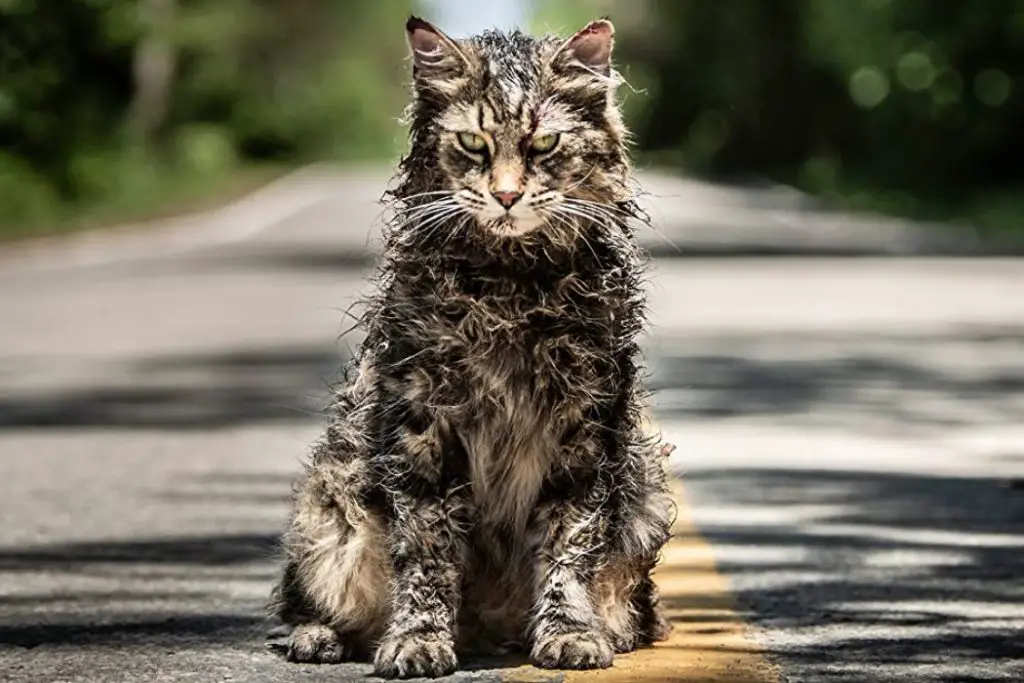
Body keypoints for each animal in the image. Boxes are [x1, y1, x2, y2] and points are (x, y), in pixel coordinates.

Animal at [268, 15, 675, 679]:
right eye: (474, 145)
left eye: (543, 145)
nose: (506, 196)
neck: (510, 288)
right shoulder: (422, 426)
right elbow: (427, 551)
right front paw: (418, 640)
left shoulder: (585, 428)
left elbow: (569, 545)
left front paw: (569, 632)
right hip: (330, 506)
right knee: (309, 601)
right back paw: (320, 636)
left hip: (646, 495)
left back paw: (600, 631)